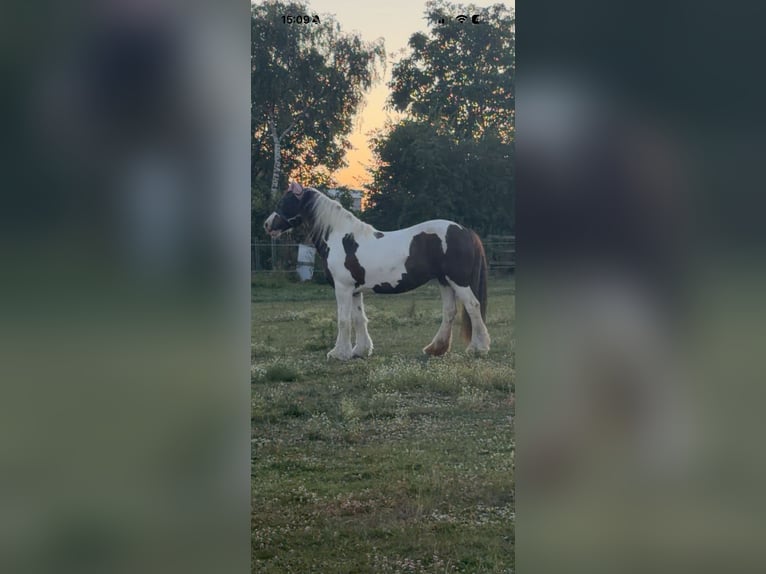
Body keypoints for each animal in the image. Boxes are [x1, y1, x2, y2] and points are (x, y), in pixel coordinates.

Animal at [264, 182, 491, 361]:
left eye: (284, 202)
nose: (267, 225)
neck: (342, 239)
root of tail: (465, 231)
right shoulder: (355, 290)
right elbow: (358, 318)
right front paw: (360, 351)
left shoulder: (343, 288)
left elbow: (343, 320)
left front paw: (339, 353)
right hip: (444, 281)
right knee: (450, 312)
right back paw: (435, 349)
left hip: (458, 280)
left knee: (472, 306)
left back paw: (478, 348)